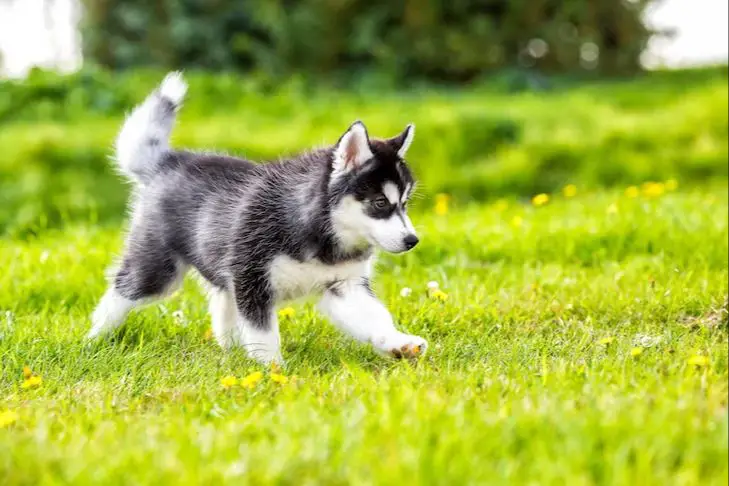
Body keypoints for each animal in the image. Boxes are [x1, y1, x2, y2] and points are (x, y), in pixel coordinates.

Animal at [89, 70, 426, 362]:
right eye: (380, 202)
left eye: (405, 203)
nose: (412, 240)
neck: (321, 232)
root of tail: (169, 160)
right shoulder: (252, 279)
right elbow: (262, 332)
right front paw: (272, 370)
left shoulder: (343, 284)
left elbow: (374, 317)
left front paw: (398, 342)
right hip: (158, 268)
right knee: (124, 288)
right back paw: (95, 338)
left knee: (222, 302)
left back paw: (231, 351)